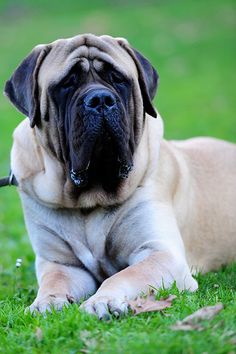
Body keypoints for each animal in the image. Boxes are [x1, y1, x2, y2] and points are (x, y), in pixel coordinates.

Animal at [4, 34, 236, 320]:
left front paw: (102, 300)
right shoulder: (63, 264)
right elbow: (54, 280)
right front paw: (46, 302)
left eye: (118, 79)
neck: (89, 198)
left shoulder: (160, 253)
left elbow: (124, 275)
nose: (100, 99)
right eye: (67, 83)